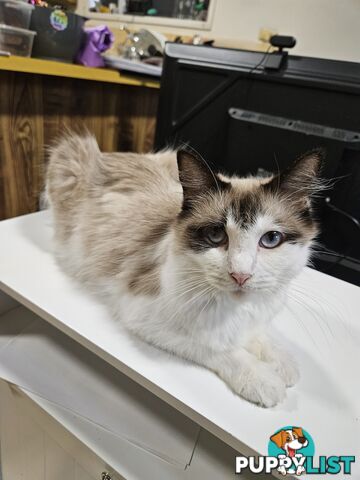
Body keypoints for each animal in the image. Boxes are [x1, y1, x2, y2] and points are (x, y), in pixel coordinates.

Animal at [45, 133, 324, 406]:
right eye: (216, 235)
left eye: (271, 239)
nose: (241, 276)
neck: (237, 308)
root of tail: (109, 152)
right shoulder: (144, 317)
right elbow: (220, 348)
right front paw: (262, 379)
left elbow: (259, 335)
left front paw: (282, 362)